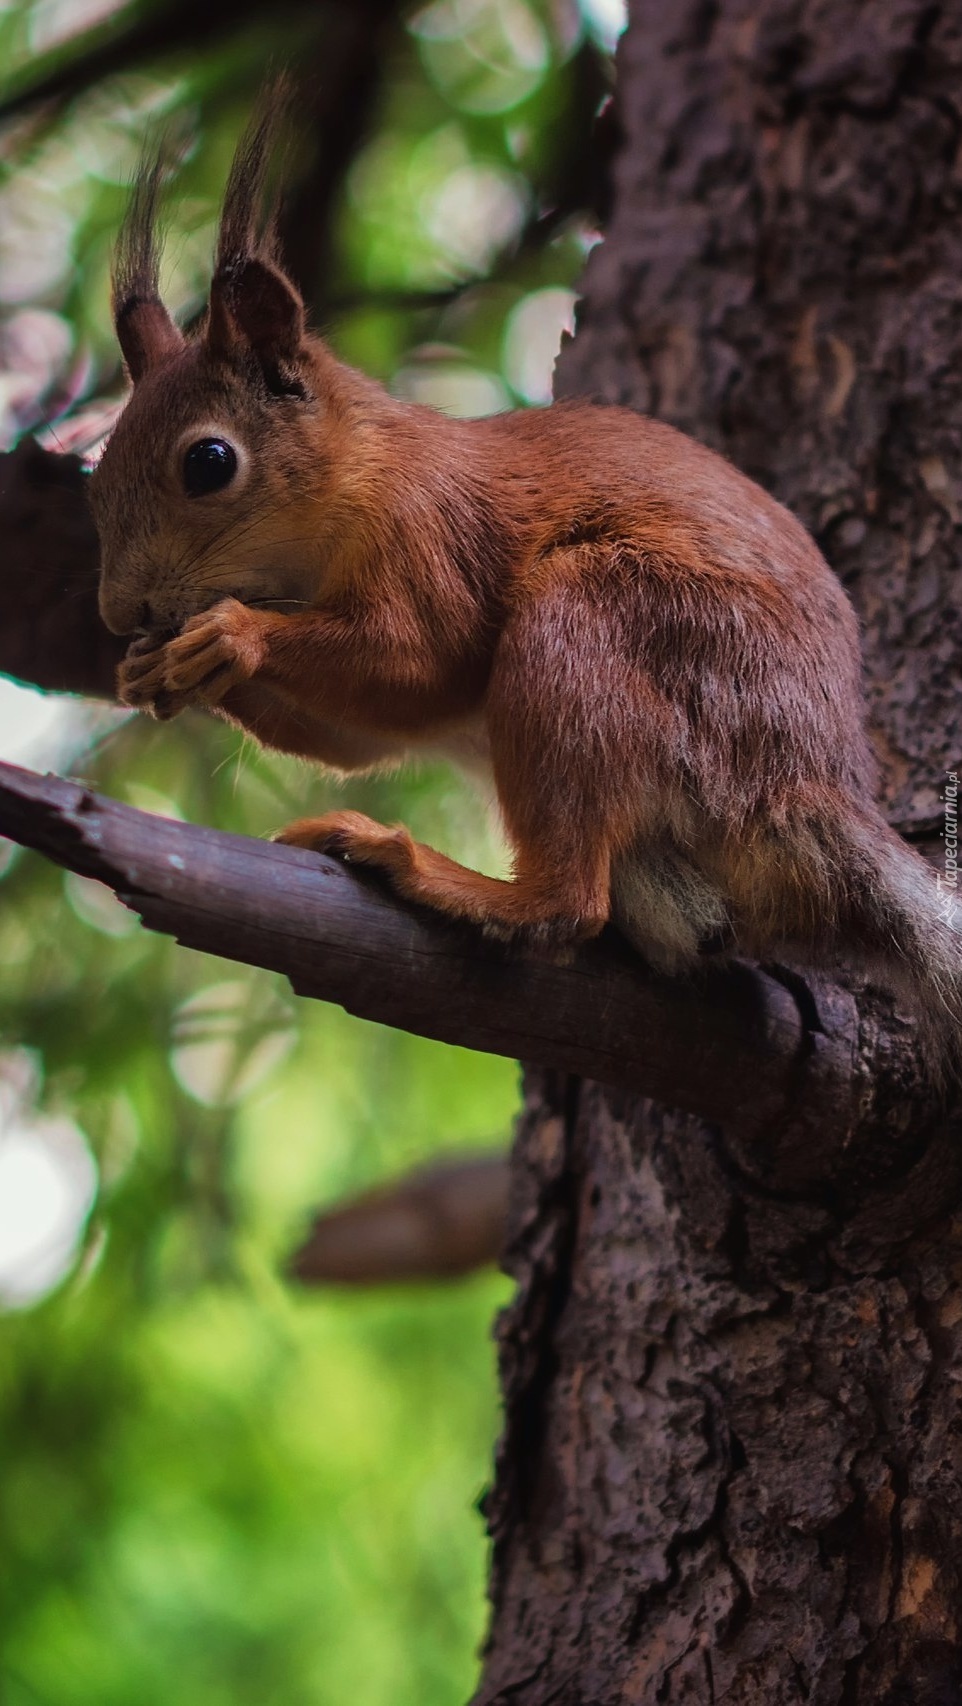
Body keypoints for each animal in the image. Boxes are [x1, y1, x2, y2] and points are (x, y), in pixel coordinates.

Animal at [90, 103, 962, 1078]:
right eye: (96, 479)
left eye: (209, 463)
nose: (120, 613)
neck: (341, 498)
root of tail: (808, 788)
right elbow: (359, 736)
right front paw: (147, 671)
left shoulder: (430, 534)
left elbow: (418, 663)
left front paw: (232, 635)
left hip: (604, 624)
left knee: (569, 903)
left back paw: (441, 877)